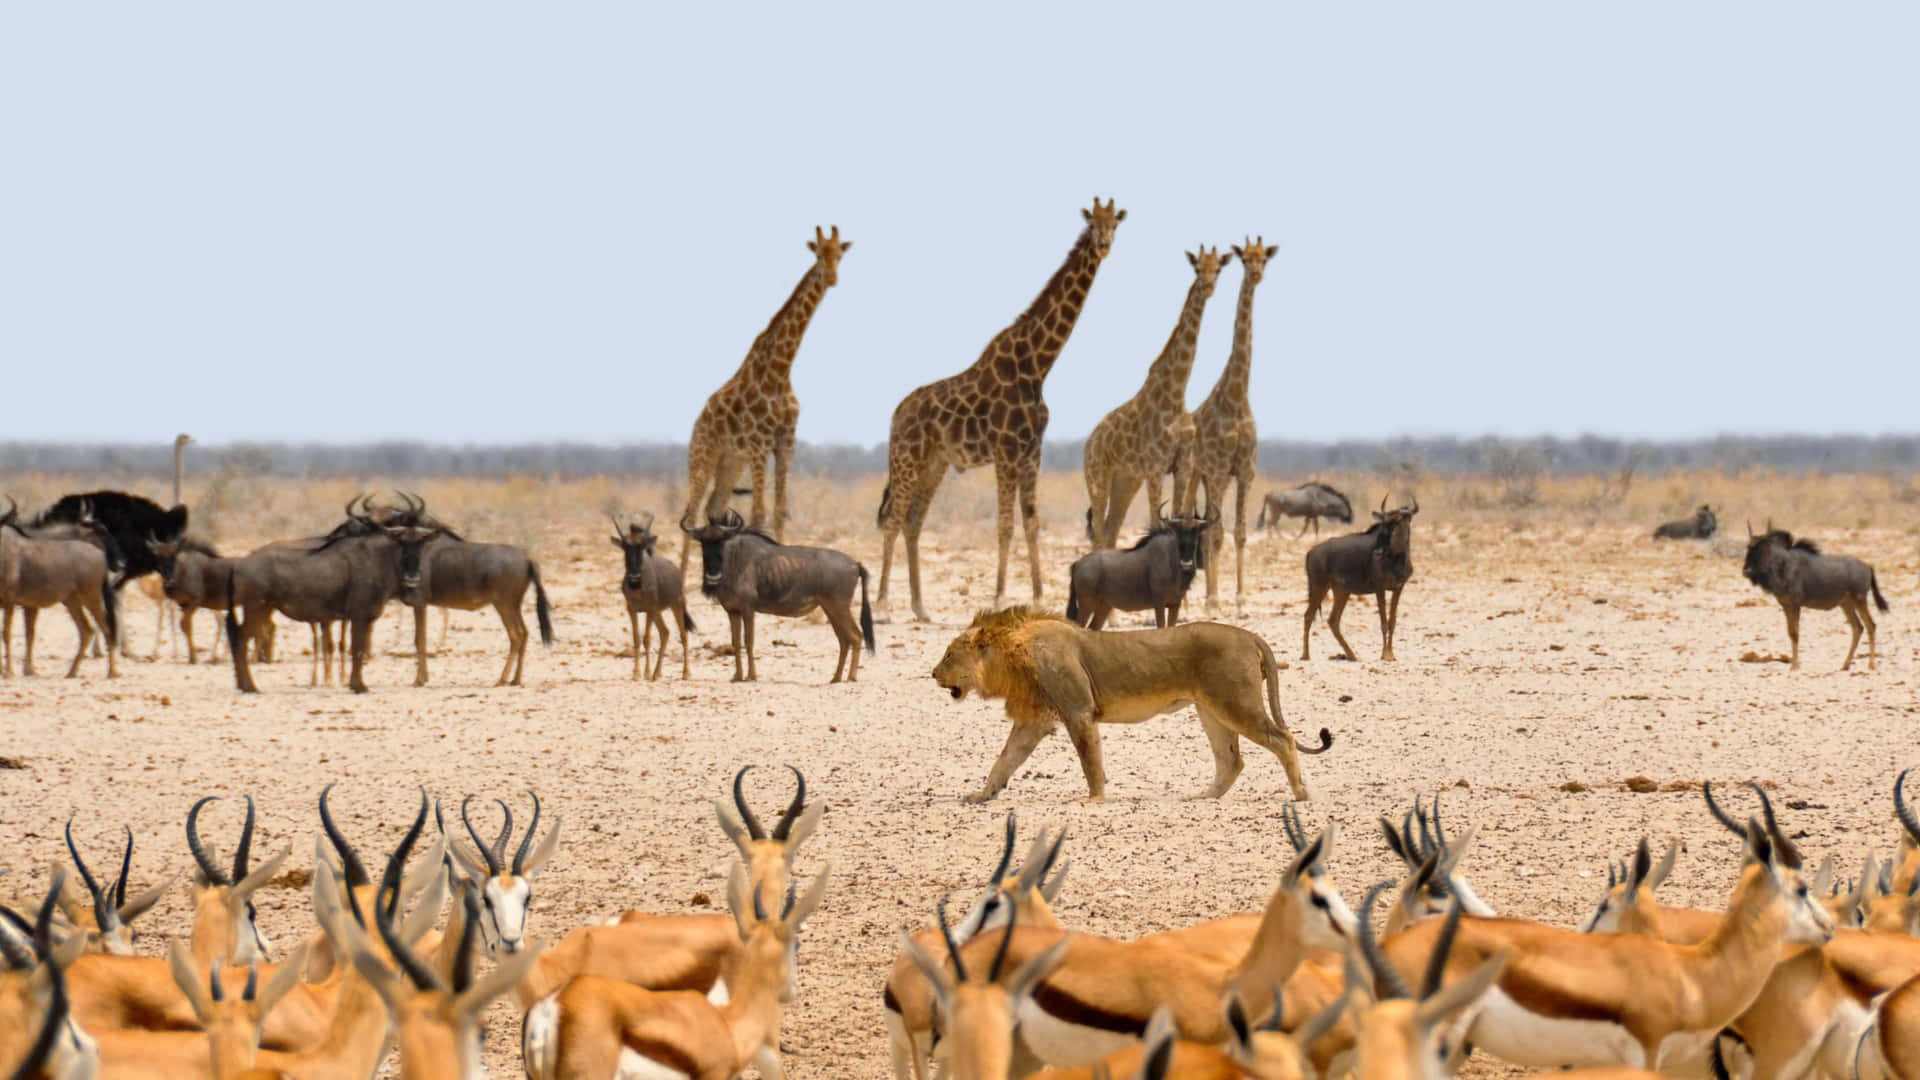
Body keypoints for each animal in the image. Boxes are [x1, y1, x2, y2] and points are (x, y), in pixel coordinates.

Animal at [611, 512, 694, 680]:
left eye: (641, 546)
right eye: (625, 547)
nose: (634, 577)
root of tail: (676, 571)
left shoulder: (649, 609)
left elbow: (646, 639)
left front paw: (646, 673)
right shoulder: (632, 609)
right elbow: (636, 638)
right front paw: (636, 674)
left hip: (676, 605)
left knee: (683, 635)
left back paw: (685, 673)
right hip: (658, 611)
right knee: (665, 632)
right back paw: (657, 673)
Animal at [682, 508, 876, 683]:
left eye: (722, 541)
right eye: (702, 542)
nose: (712, 576)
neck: (734, 563)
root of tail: (855, 564)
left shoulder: (748, 609)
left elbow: (748, 640)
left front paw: (751, 676)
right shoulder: (732, 611)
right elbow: (736, 642)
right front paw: (737, 676)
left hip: (839, 607)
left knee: (855, 636)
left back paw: (850, 677)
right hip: (830, 609)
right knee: (844, 640)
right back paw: (835, 678)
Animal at [1301, 496, 1417, 662]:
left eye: (1395, 523)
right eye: (1383, 524)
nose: (1378, 552)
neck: (1396, 559)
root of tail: (1311, 552)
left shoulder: (1398, 587)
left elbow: (1392, 621)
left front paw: (1391, 654)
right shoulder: (1379, 588)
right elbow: (1383, 622)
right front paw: (1385, 654)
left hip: (1341, 591)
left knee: (1333, 620)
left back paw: (1351, 655)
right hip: (1319, 586)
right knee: (1309, 615)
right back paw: (1305, 655)